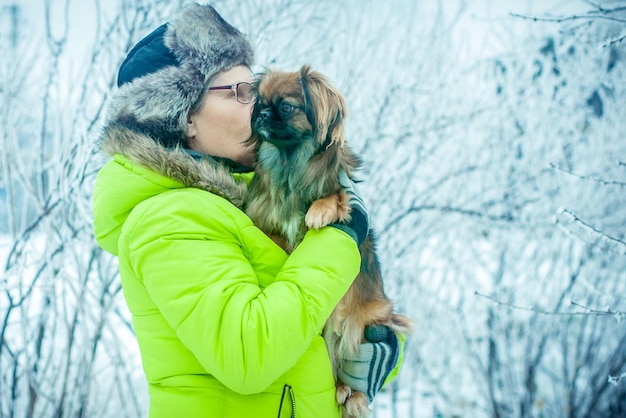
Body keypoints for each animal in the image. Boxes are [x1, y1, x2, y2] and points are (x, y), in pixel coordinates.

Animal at [245, 65, 414, 418]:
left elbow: (338, 196)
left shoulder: (343, 190)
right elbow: (274, 234)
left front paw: (319, 211)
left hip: (356, 324)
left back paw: (351, 392)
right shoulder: (268, 220)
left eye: (286, 107)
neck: (290, 164)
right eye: (260, 103)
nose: (261, 114)